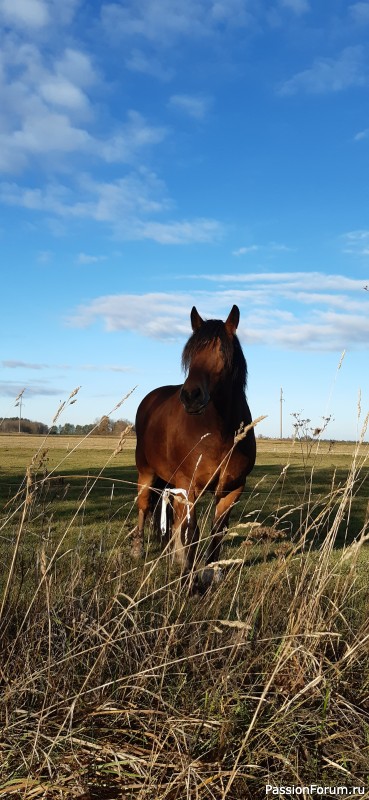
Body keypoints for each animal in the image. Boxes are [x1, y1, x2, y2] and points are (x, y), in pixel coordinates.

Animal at [132, 306, 256, 580]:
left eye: (221, 352)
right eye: (190, 354)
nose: (190, 396)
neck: (220, 432)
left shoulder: (232, 490)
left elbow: (217, 531)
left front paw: (212, 570)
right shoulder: (189, 487)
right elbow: (192, 532)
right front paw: (188, 577)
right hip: (146, 473)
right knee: (144, 506)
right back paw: (138, 549)